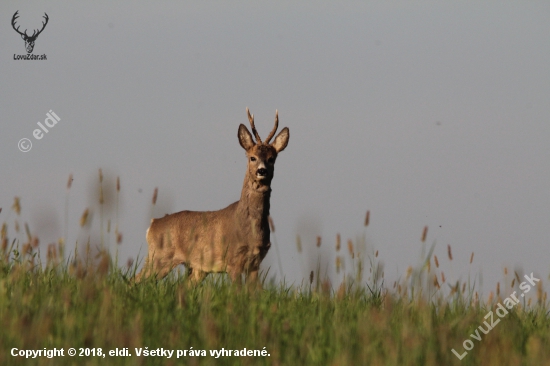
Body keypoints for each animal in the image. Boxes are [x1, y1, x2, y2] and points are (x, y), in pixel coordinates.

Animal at [136, 108, 292, 286]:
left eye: (271, 159)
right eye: (252, 157)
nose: (262, 170)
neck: (250, 230)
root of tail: (152, 225)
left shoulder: (255, 263)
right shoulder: (233, 259)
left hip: (197, 269)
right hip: (159, 258)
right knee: (134, 280)